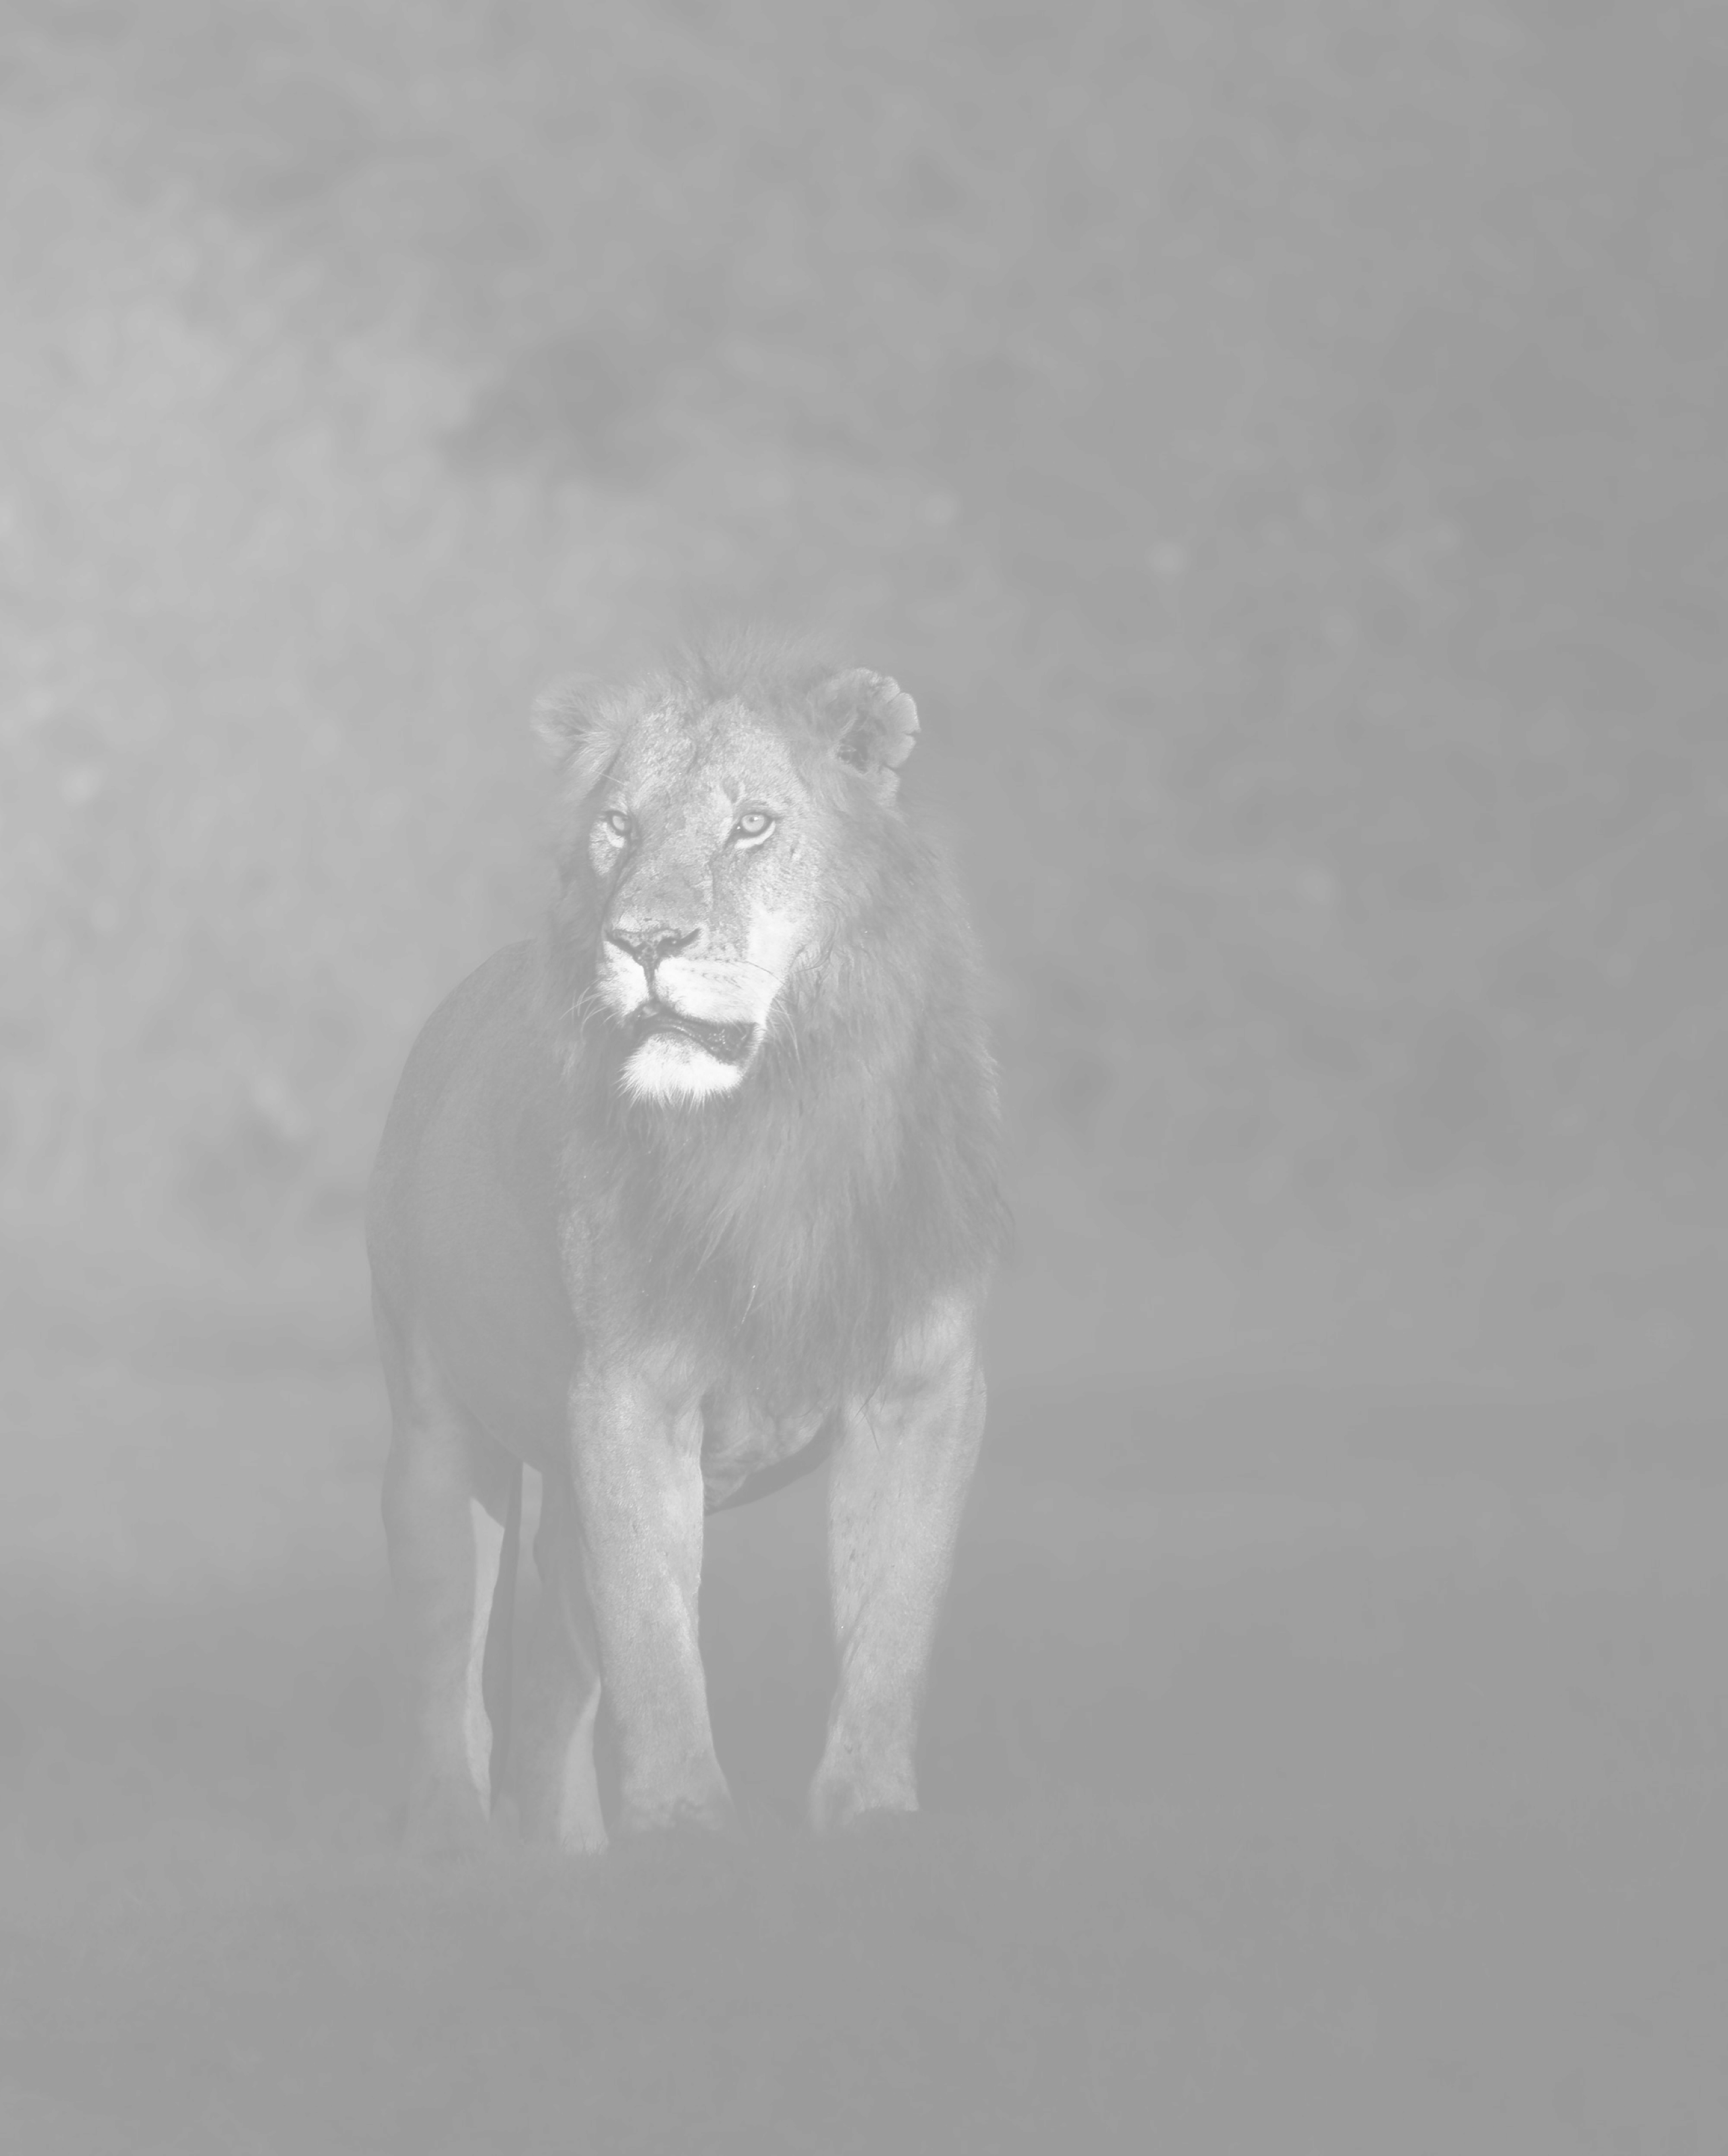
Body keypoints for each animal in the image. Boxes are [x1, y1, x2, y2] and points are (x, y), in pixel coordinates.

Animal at [365, 624, 1010, 1855]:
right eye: (620, 826)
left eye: (750, 824)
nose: (645, 940)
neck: (772, 1121)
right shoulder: (627, 1390)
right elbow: (655, 1634)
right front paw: (682, 1825)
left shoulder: (923, 1383)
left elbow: (892, 1621)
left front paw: (872, 1813)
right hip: (431, 1421)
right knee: (445, 1655)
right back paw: (452, 1835)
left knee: (549, 1671)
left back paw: (566, 1850)